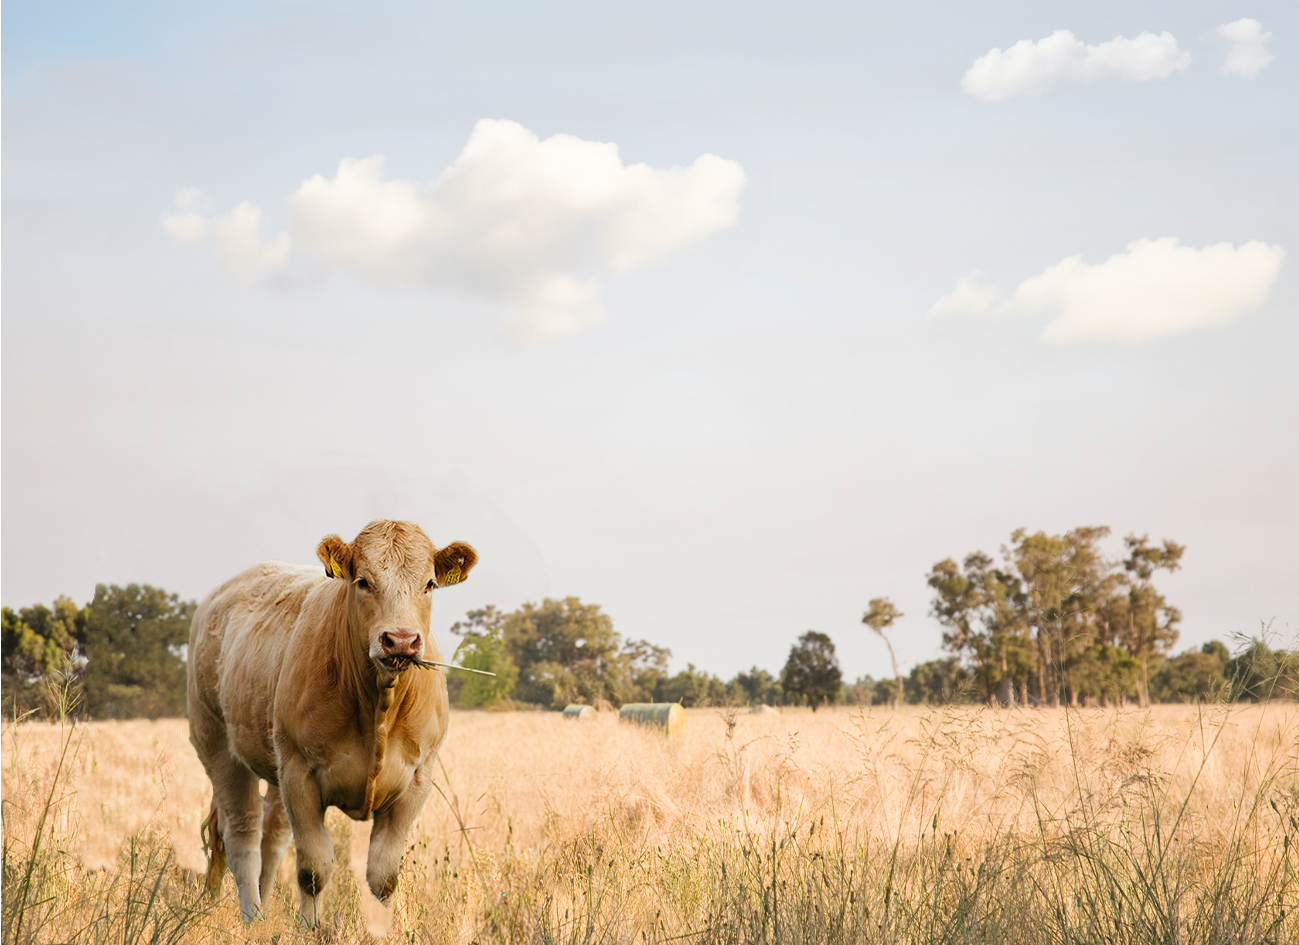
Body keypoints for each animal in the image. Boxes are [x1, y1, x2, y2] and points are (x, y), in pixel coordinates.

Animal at [186, 520, 477, 927]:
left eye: (429, 584)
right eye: (363, 581)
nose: (400, 640)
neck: (378, 705)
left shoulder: (417, 779)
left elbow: (383, 875)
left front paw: (380, 930)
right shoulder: (300, 773)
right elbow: (313, 869)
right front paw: (308, 928)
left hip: (274, 759)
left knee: (272, 834)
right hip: (217, 743)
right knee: (242, 832)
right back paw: (253, 918)